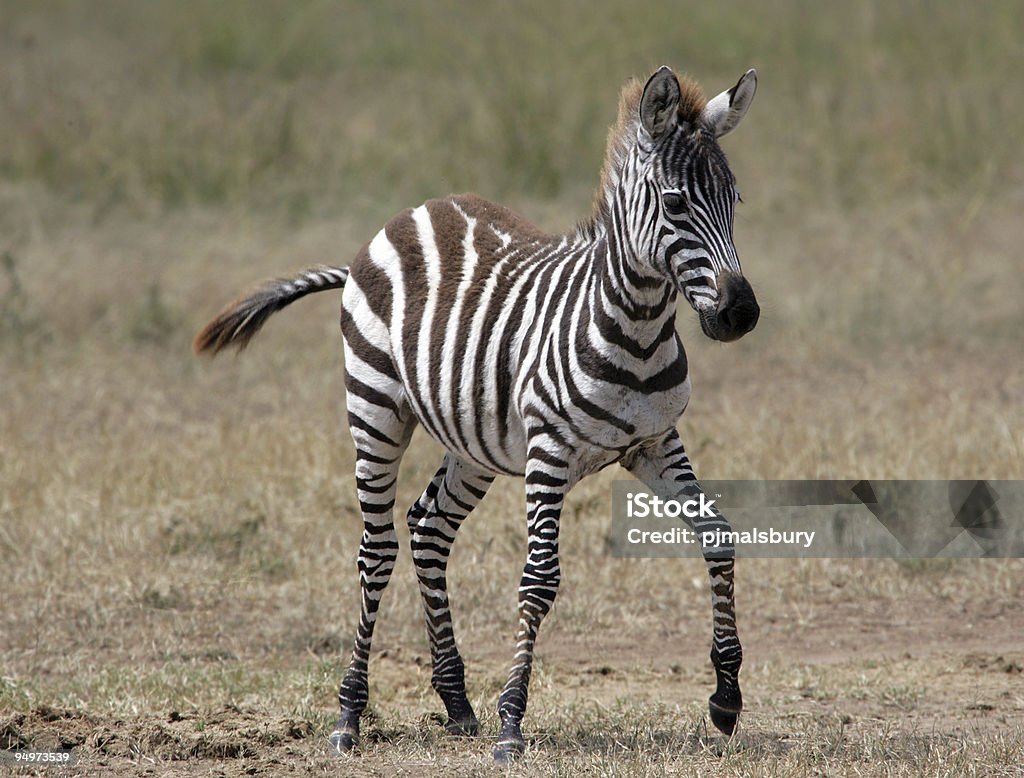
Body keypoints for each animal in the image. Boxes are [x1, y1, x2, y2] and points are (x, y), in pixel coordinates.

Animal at [195, 65, 761, 761]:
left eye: (736, 200)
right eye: (677, 205)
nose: (740, 315)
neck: (637, 327)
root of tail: (409, 213)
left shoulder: (655, 442)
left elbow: (718, 536)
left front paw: (726, 696)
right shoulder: (550, 451)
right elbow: (539, 580)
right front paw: (512, 722)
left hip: (474, 443)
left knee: (428, 527)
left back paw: (456, 700)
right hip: (375, 410)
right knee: (376, 550)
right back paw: (350, 713)